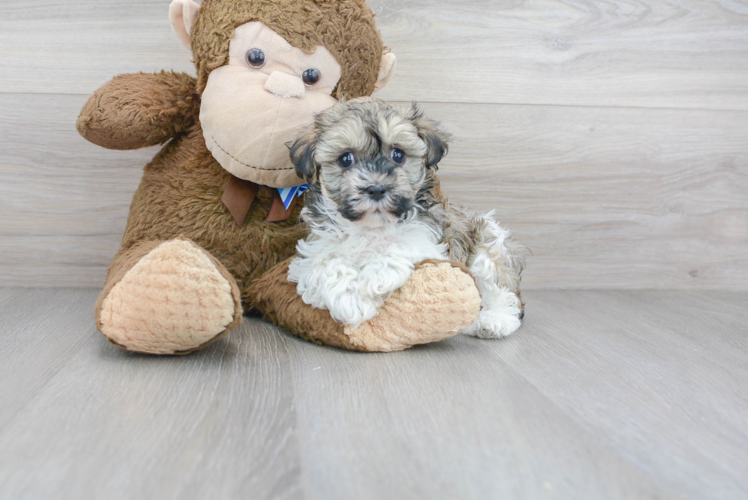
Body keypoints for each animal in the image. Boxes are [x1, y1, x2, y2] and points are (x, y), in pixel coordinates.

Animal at [286, 97, 524, 338]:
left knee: (500, 290)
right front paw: (352, 300)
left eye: (398, 154)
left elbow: (403, 244)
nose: (376, 188)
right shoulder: (312, 253)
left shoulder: (430, 241)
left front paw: (374, 277)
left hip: (488, 247)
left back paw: (493, 320)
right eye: (345, 159)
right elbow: (326, 265)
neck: (371, 226)